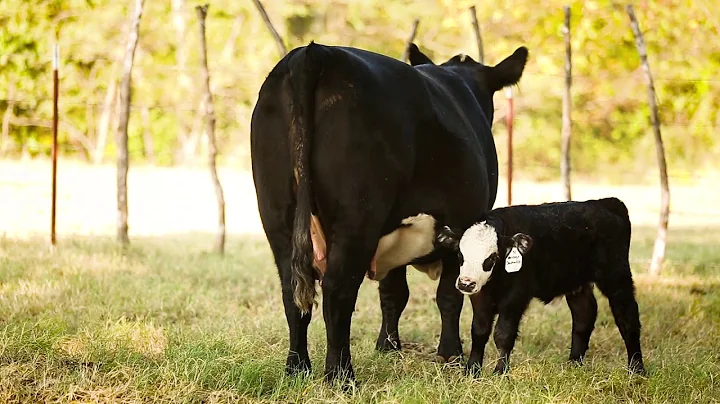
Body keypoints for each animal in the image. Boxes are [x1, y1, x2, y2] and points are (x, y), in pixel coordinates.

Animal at [252, 41, 528, 386]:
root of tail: (314, 52)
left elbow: (394, 292)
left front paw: (388, 346)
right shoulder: (462, 225)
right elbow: (449, 296)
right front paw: (450, 354)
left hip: (277, 214)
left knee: (293, 291)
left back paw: (297, 368)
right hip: (359, 216)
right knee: (338, 291)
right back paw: (341, 376)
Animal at [436, 197, 648, 378]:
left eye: (492, 258)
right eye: (460, 255)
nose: (465, 283)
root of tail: (605, 203)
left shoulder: (516, 296)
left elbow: (503, 333)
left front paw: (500, 372)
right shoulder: (480, 296)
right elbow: (479, 331)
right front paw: (472, 370)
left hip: (616, 277)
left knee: (627, 317)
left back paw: (637, 369)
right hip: (577, 283)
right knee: (584, 315)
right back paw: (574, 363)